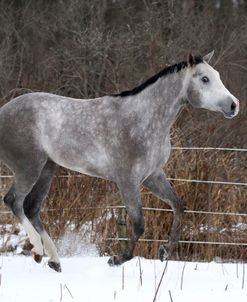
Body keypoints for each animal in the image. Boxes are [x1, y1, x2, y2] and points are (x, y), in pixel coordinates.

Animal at [0, 51, 239, 272]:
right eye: (205, 79)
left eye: (217, 76)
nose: (234, 105)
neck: (143, 120)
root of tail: (3, 111)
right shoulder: (127, 181)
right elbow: (139, 224)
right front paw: (117, 259)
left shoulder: (153, 176)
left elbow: (178, 206)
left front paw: (165, 251)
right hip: (29, 167)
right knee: (14, 201)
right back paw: (38, 251)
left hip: (47, 169)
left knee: (31, 207)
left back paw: (54, 261)